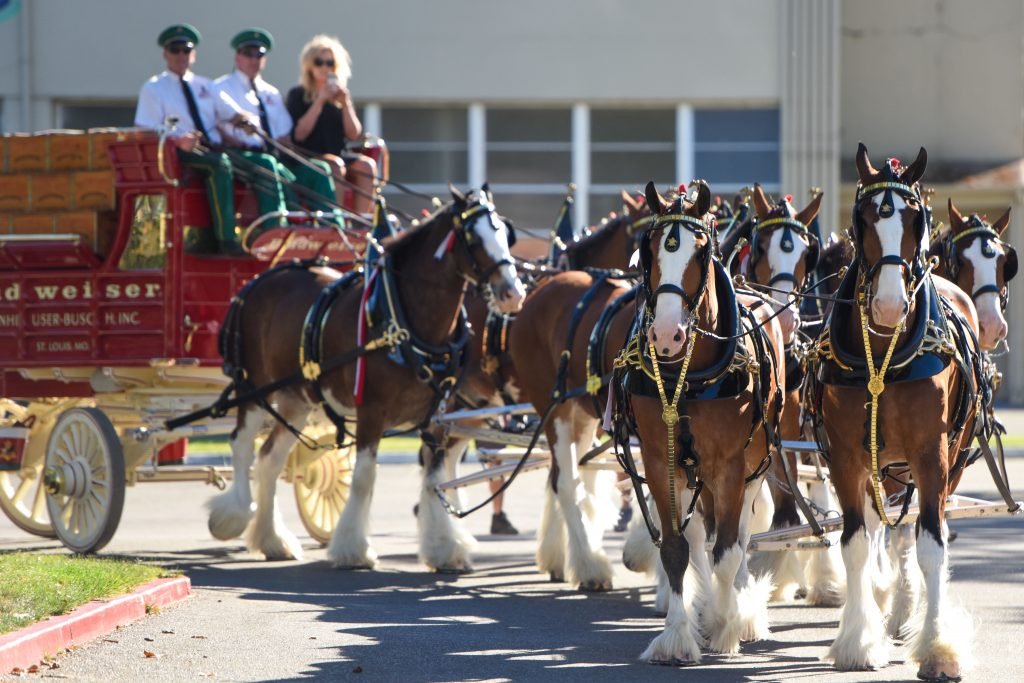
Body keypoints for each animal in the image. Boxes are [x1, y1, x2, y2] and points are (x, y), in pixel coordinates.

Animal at [208, 187, 528, 565]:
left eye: (505, 234)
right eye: (473, 239)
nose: (513, 294)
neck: (405, 320)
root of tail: (258, 282)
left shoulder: (436, 416)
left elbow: (433, 477)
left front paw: (444, 547)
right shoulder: (371, 411)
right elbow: (364, 477)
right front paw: (353, 549)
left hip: (296, 400)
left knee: (270, 459)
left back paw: (273, 540)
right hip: (255, 389)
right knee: (242, 444)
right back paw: (234, 516)